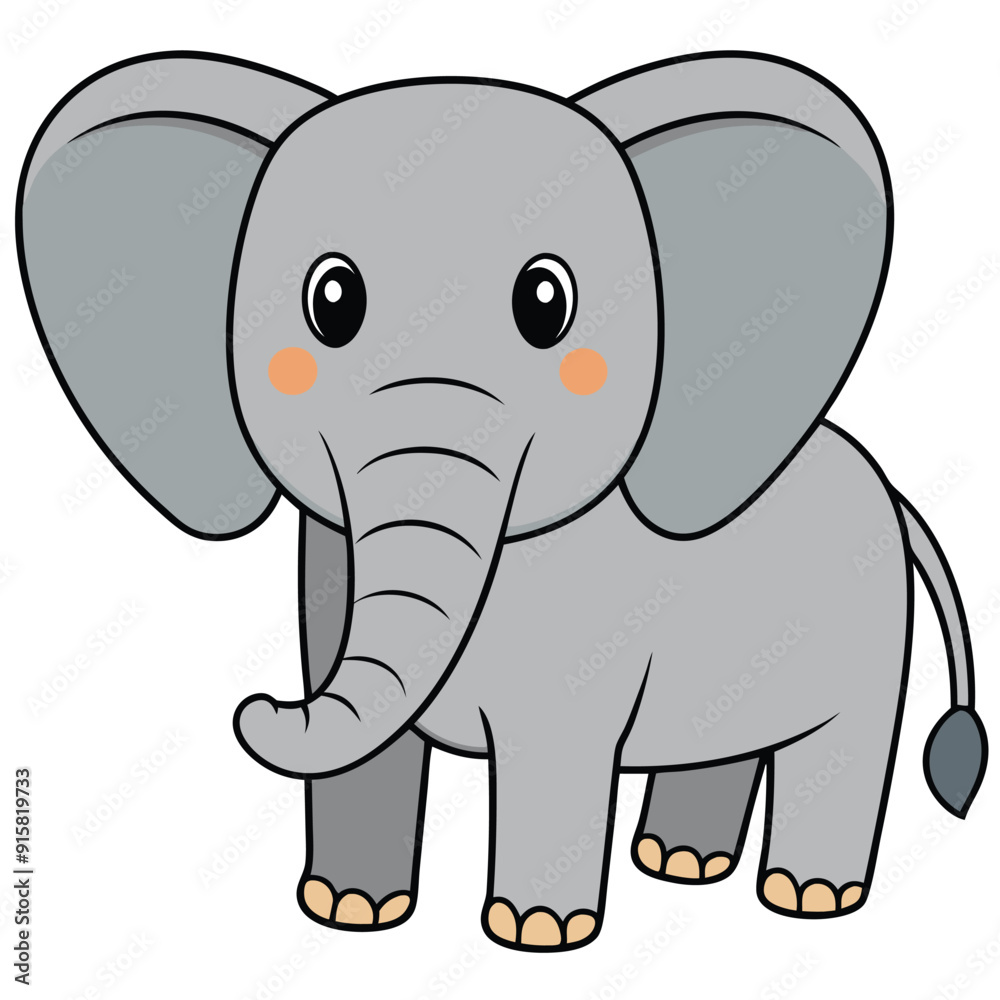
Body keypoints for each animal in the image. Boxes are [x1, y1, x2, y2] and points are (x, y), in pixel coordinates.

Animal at [18, 48, 987, 952]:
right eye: (330, 300)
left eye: (546, 302)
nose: (259, 707)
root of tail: (894, 493)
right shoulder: (329, 555)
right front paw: (349, 913)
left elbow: (554, 746)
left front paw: (537, 934)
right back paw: (679, 864)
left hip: (866, 625)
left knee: (842, 746)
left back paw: (807, 897)